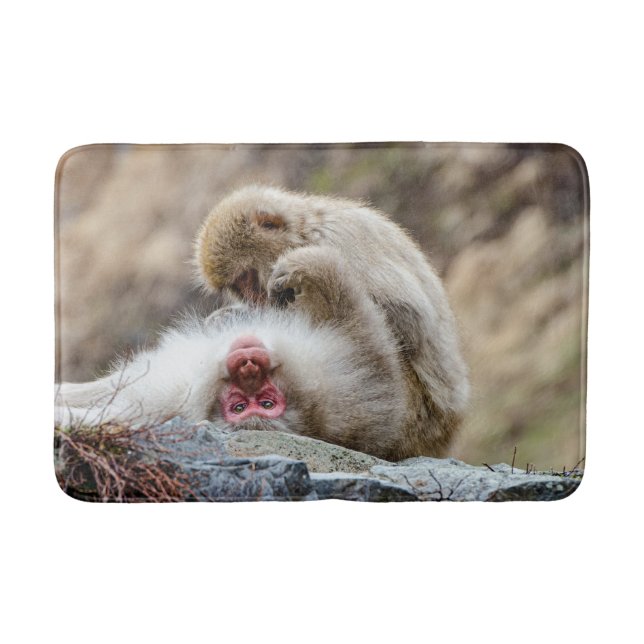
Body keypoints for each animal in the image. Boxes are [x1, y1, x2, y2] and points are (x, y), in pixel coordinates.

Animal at [56, 247, 410, 460]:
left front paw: (311, 266)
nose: (248, 367)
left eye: (264, 404)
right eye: (241, 405)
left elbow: (363, 334)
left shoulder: (349, 395)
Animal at [195, 185, 469, 458]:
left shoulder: (337, 240)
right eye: (238, 287)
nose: (254, 298)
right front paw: (231, 317)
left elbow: (408, 320)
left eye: (247, 278)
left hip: (415, 418)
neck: (304, 232)